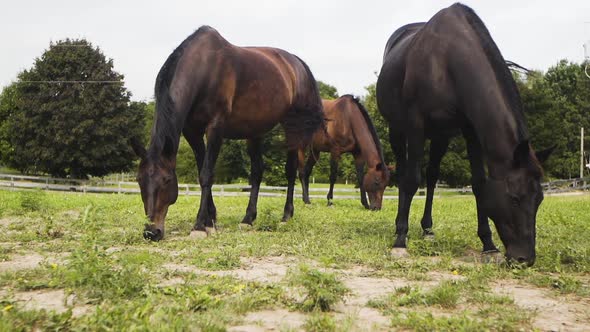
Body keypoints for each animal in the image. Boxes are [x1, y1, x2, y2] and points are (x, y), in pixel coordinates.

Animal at [132, 25, 324, 239]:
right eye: (139, 180)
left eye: (166, 180)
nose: (151, 232)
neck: (204, 69)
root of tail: (296, 63)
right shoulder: (192, 132)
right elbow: (202, 170)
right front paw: (210, 220)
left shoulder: (215, 128)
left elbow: (206, 175)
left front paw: (199, 226)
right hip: (254, 131)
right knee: (257, 171)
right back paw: (248, 219)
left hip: (292, 127)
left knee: (290, 171)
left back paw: (286, 216)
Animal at [380, 3, 556, 266]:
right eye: (514, 198)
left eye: (540, 200)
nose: (524, 258)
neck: (445, 61)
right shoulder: (415, 125)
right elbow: (411, 180)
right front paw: (400, 241)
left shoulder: (470, 130)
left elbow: (479, 184)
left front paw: (489, 245)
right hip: (397, 130)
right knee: (403, 173)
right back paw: (399, 227)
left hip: (440, 136)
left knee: (432, 176)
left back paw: (427, 229)